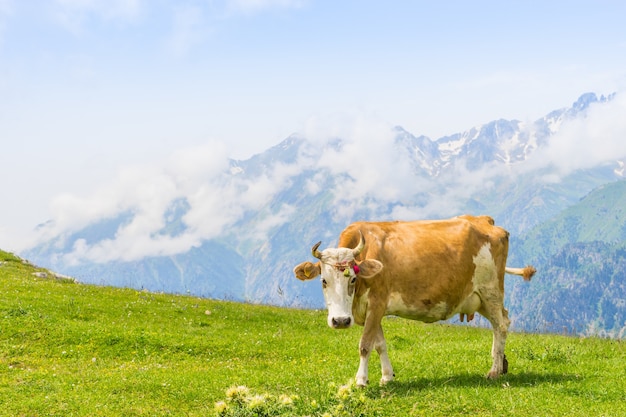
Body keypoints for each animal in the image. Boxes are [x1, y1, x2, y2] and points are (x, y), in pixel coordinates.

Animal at [292, 214, 532, 386]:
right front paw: (387, 377)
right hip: (479, 298)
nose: (340, 321)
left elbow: (365, 344)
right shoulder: (372, 310)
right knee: (502, 321)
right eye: (323, 281)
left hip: (490, 291)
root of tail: (484, 220)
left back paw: (494, 371)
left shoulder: (377, 303)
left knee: (501, 326)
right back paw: (501, 365)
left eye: (352, 279)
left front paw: (360, 380)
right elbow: (380, 344)